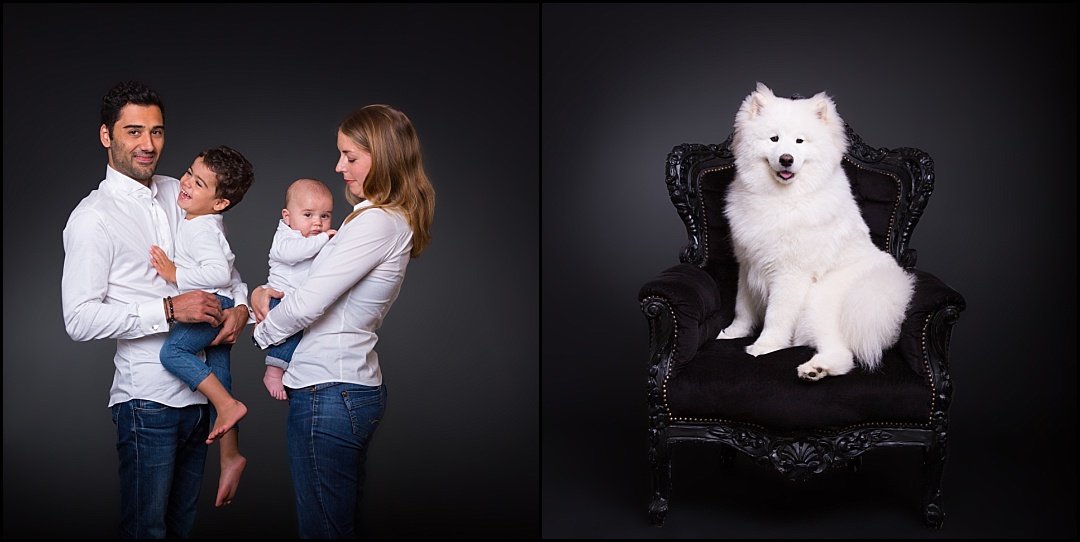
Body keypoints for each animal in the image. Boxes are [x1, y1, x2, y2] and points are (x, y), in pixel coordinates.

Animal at [717, 84, 911, 380]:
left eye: (800, 141)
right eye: (774, 139)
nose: (786, 159)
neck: (782, 198)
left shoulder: (790, 275)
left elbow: (775, 316)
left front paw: (764, 346)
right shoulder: (748, 263)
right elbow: (743, 307)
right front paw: (733, 333)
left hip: (816, 302)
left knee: (843, 353)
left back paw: (815, 369)